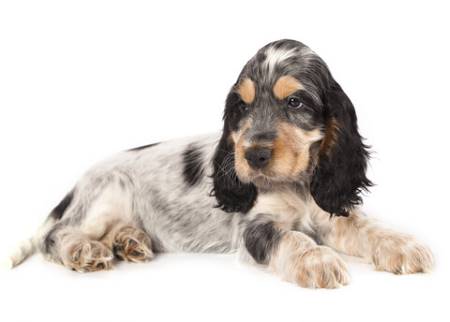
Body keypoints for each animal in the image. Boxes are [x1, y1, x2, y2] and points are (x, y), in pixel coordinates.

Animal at [8, 39, 434, 288]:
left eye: (295, 102)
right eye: (241, 107)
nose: (253, 155)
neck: (296, 185)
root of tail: (75, 186)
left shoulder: (330, 208)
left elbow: (368, 227)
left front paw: (405, 246)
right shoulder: (254, 228)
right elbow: (292, 237)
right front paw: (317, 260)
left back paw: (131, 242)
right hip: (109, 191)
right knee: (54, 236)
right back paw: (85, 250)